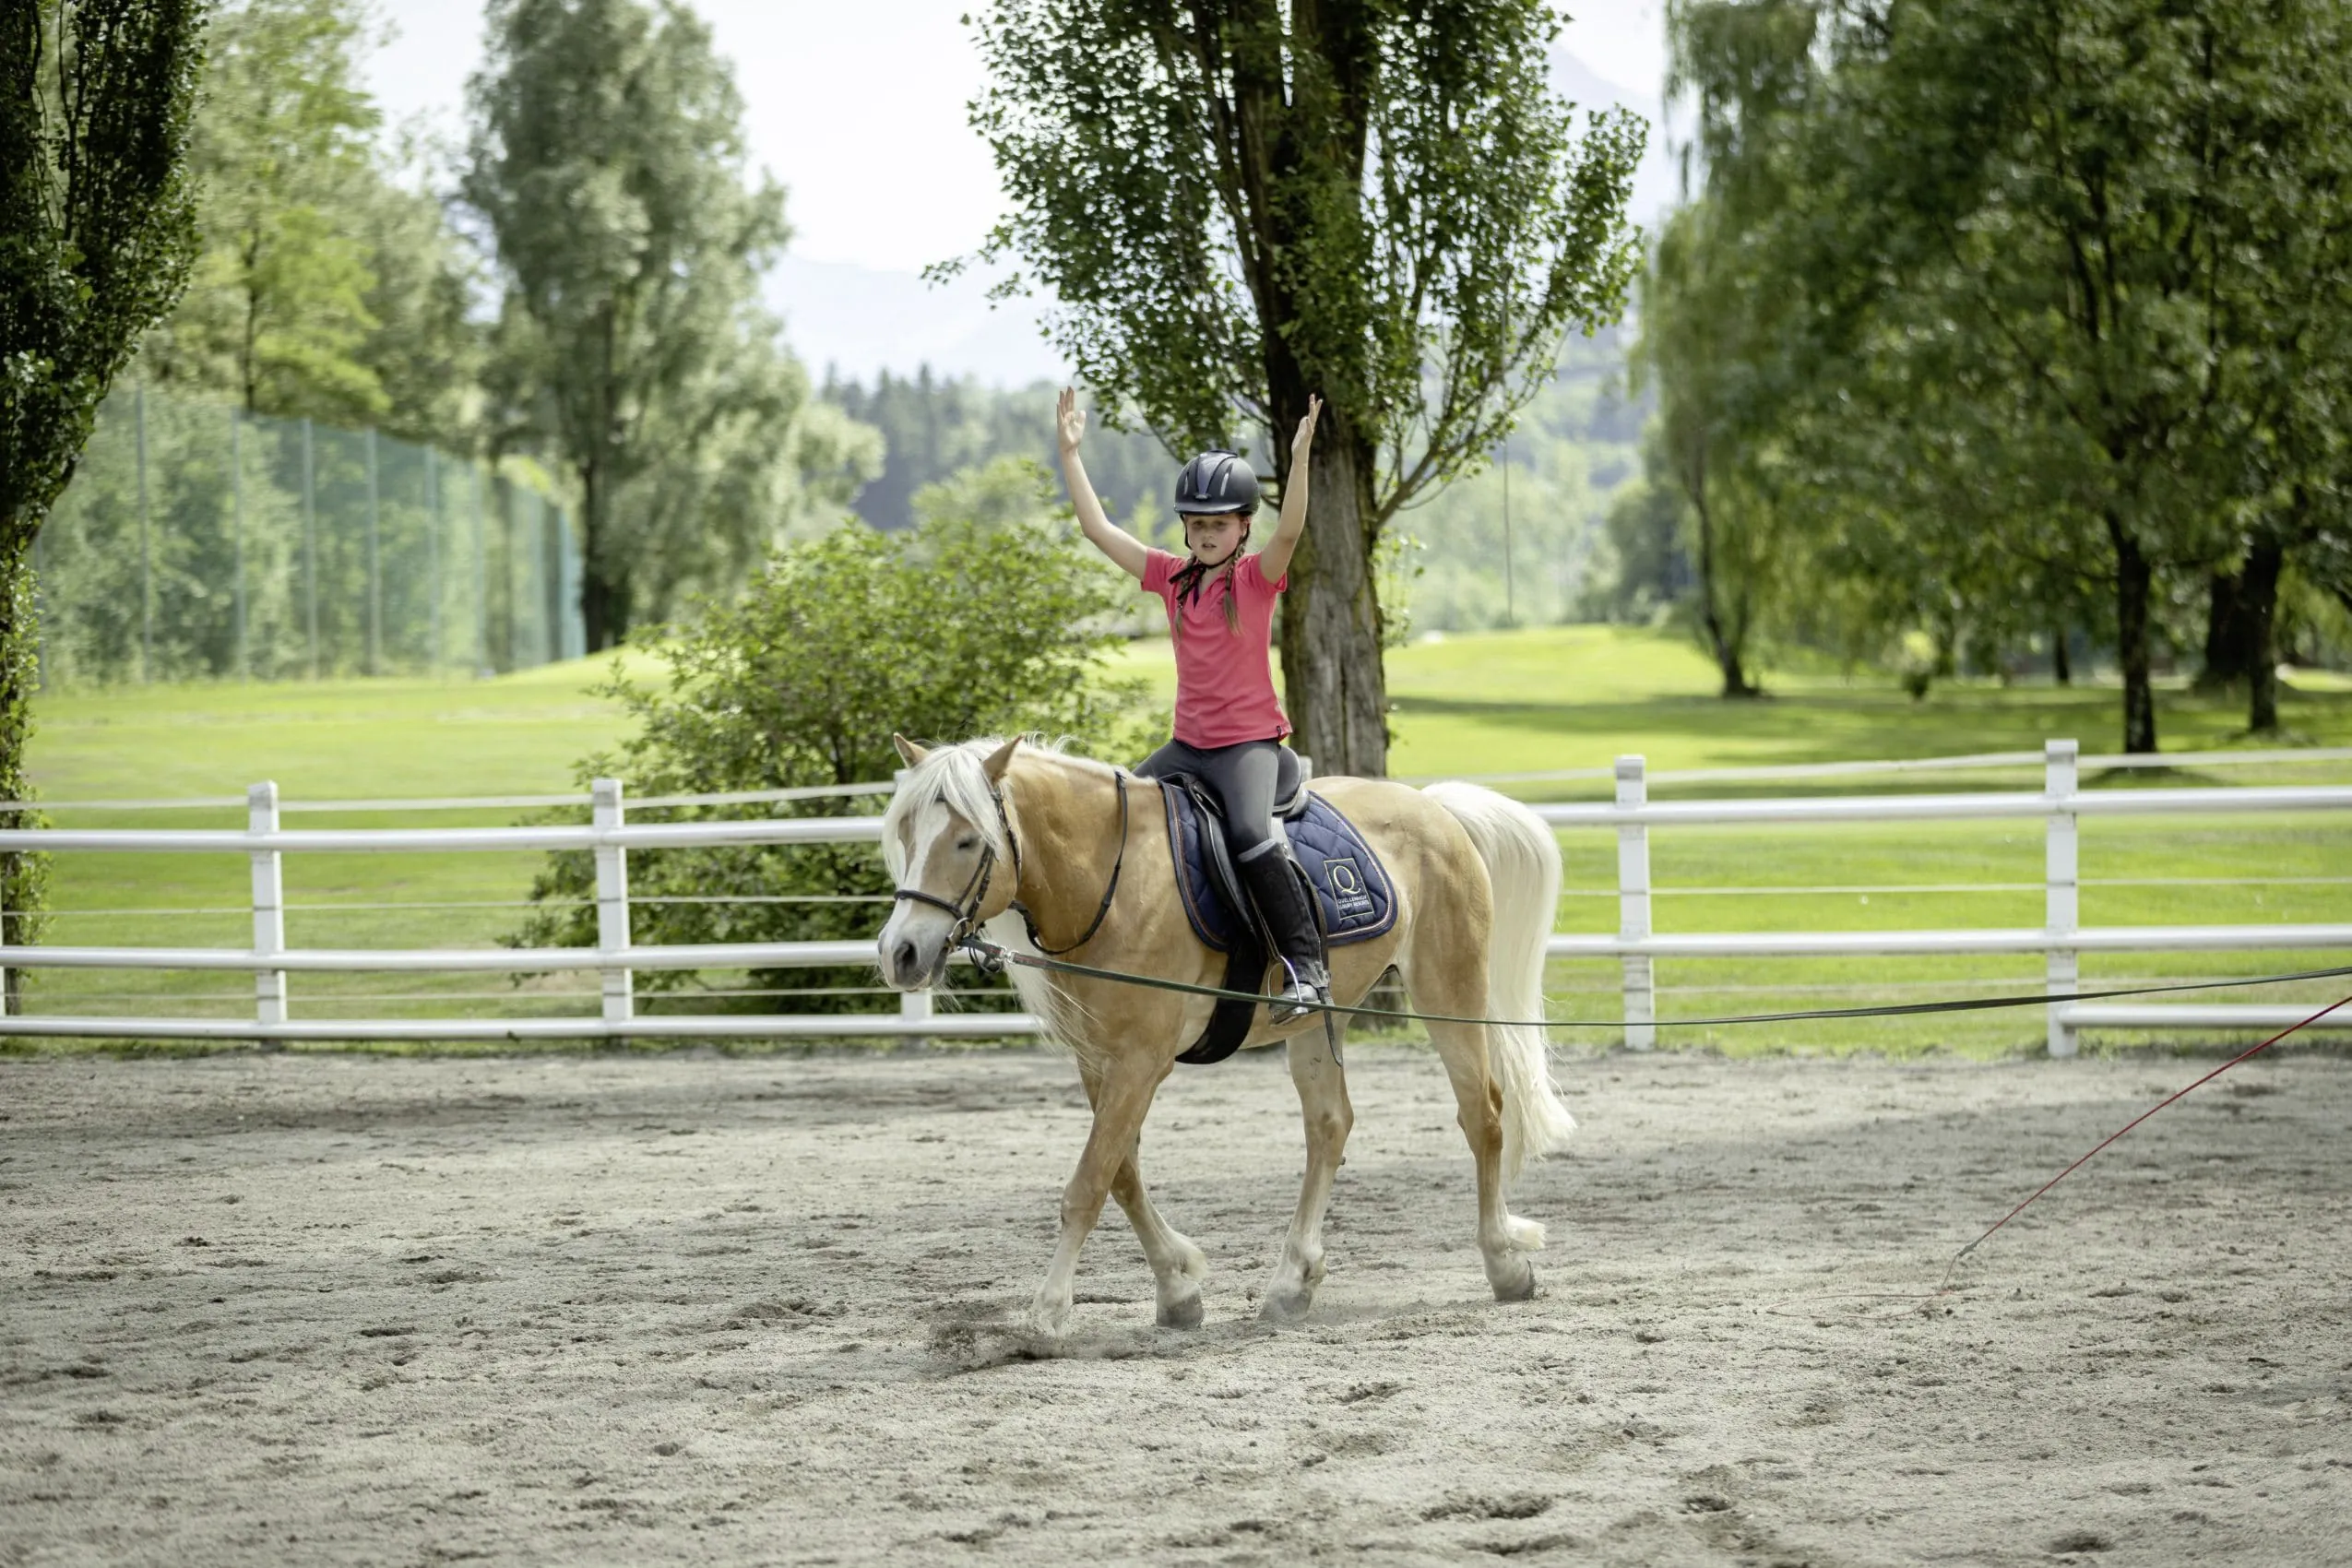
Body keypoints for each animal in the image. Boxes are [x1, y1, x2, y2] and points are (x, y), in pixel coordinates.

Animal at [876, 734, 1577, 1338]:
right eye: (906, 834)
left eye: (967, 841)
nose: (899, 953)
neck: (1110, 877)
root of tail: (1433, 807)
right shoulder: (1099, 1061)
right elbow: (1122, 1175)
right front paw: (1178, 1289)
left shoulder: (1141, 1062)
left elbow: (1088, 1184)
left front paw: (1047, 1313)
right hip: (1321, 1018)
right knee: (1330, 1125)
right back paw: (1293, 1282)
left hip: (1447, 990)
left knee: (1483, 1114)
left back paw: (1504, 1264)